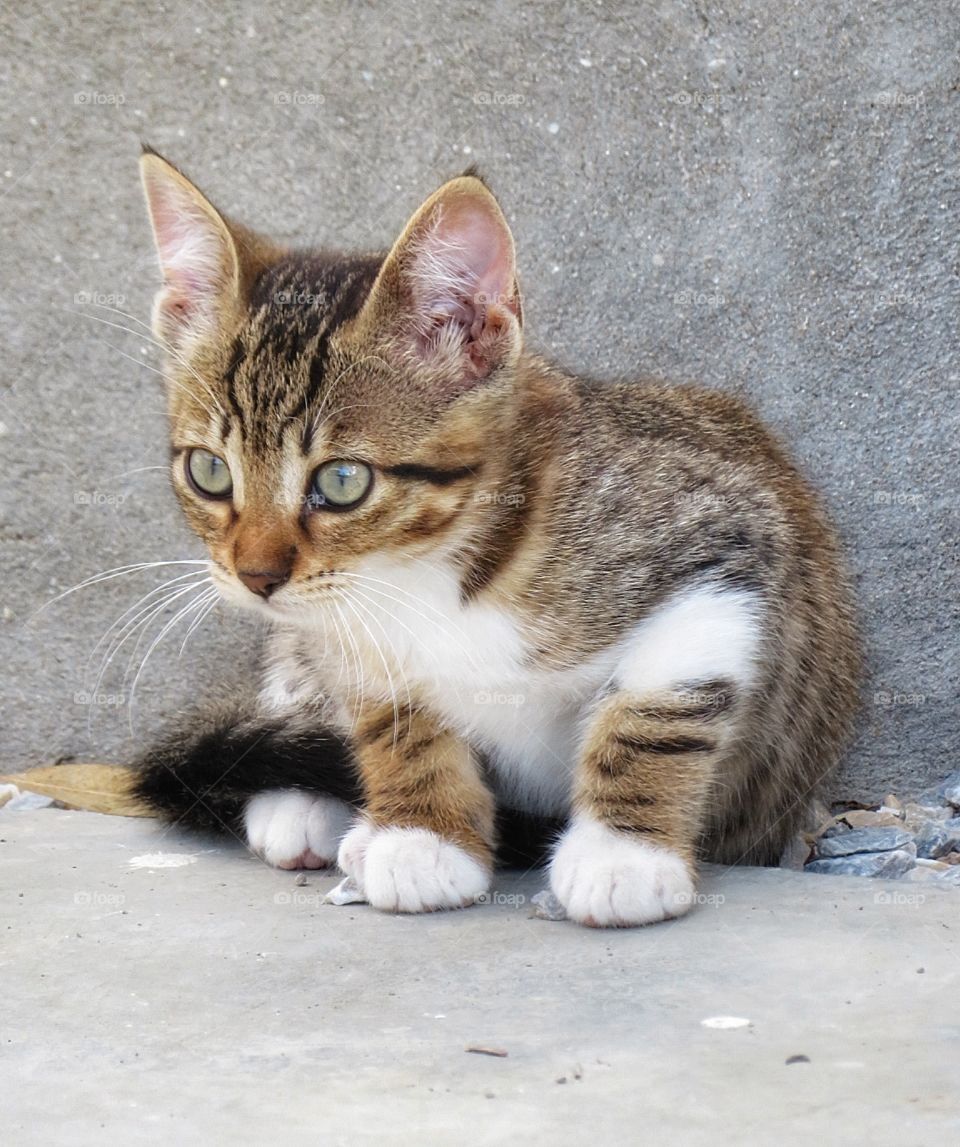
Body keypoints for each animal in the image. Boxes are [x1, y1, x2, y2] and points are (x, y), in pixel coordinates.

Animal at [131, 150, 857, 922]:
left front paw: (623, 853)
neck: (429, 571)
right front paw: (421, 832)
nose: (256, 576)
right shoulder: (345, 628)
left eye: (343, 480)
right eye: (209, 470)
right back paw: (302, 806)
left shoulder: (730, 536)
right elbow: (389, 716)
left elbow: (660, 706)